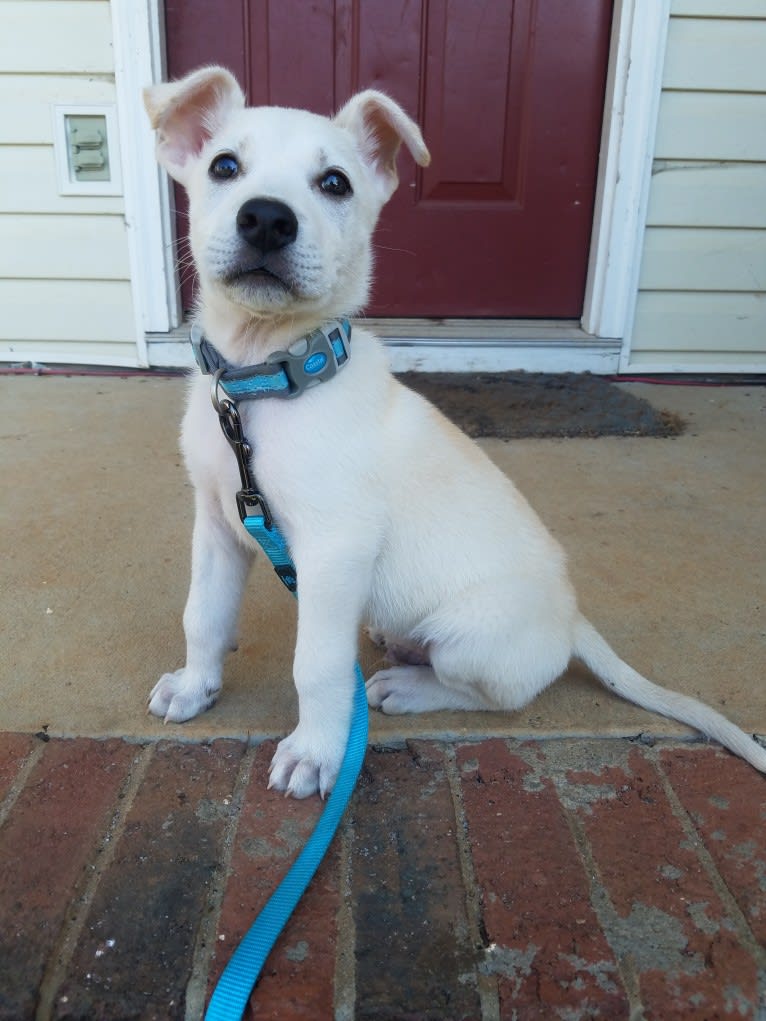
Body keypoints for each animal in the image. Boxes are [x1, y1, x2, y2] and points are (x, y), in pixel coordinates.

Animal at [144, 67, 766, 796]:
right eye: (224, 166)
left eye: (335, 183)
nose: (267, 218)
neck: (265, 379)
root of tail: (571, 619)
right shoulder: (219, 526)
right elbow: (204, 617)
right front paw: (196, 686)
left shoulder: (333, 550)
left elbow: (317, 666)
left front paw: (316, 752)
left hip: (469, 637)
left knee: (500, 694)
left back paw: (408, 687)